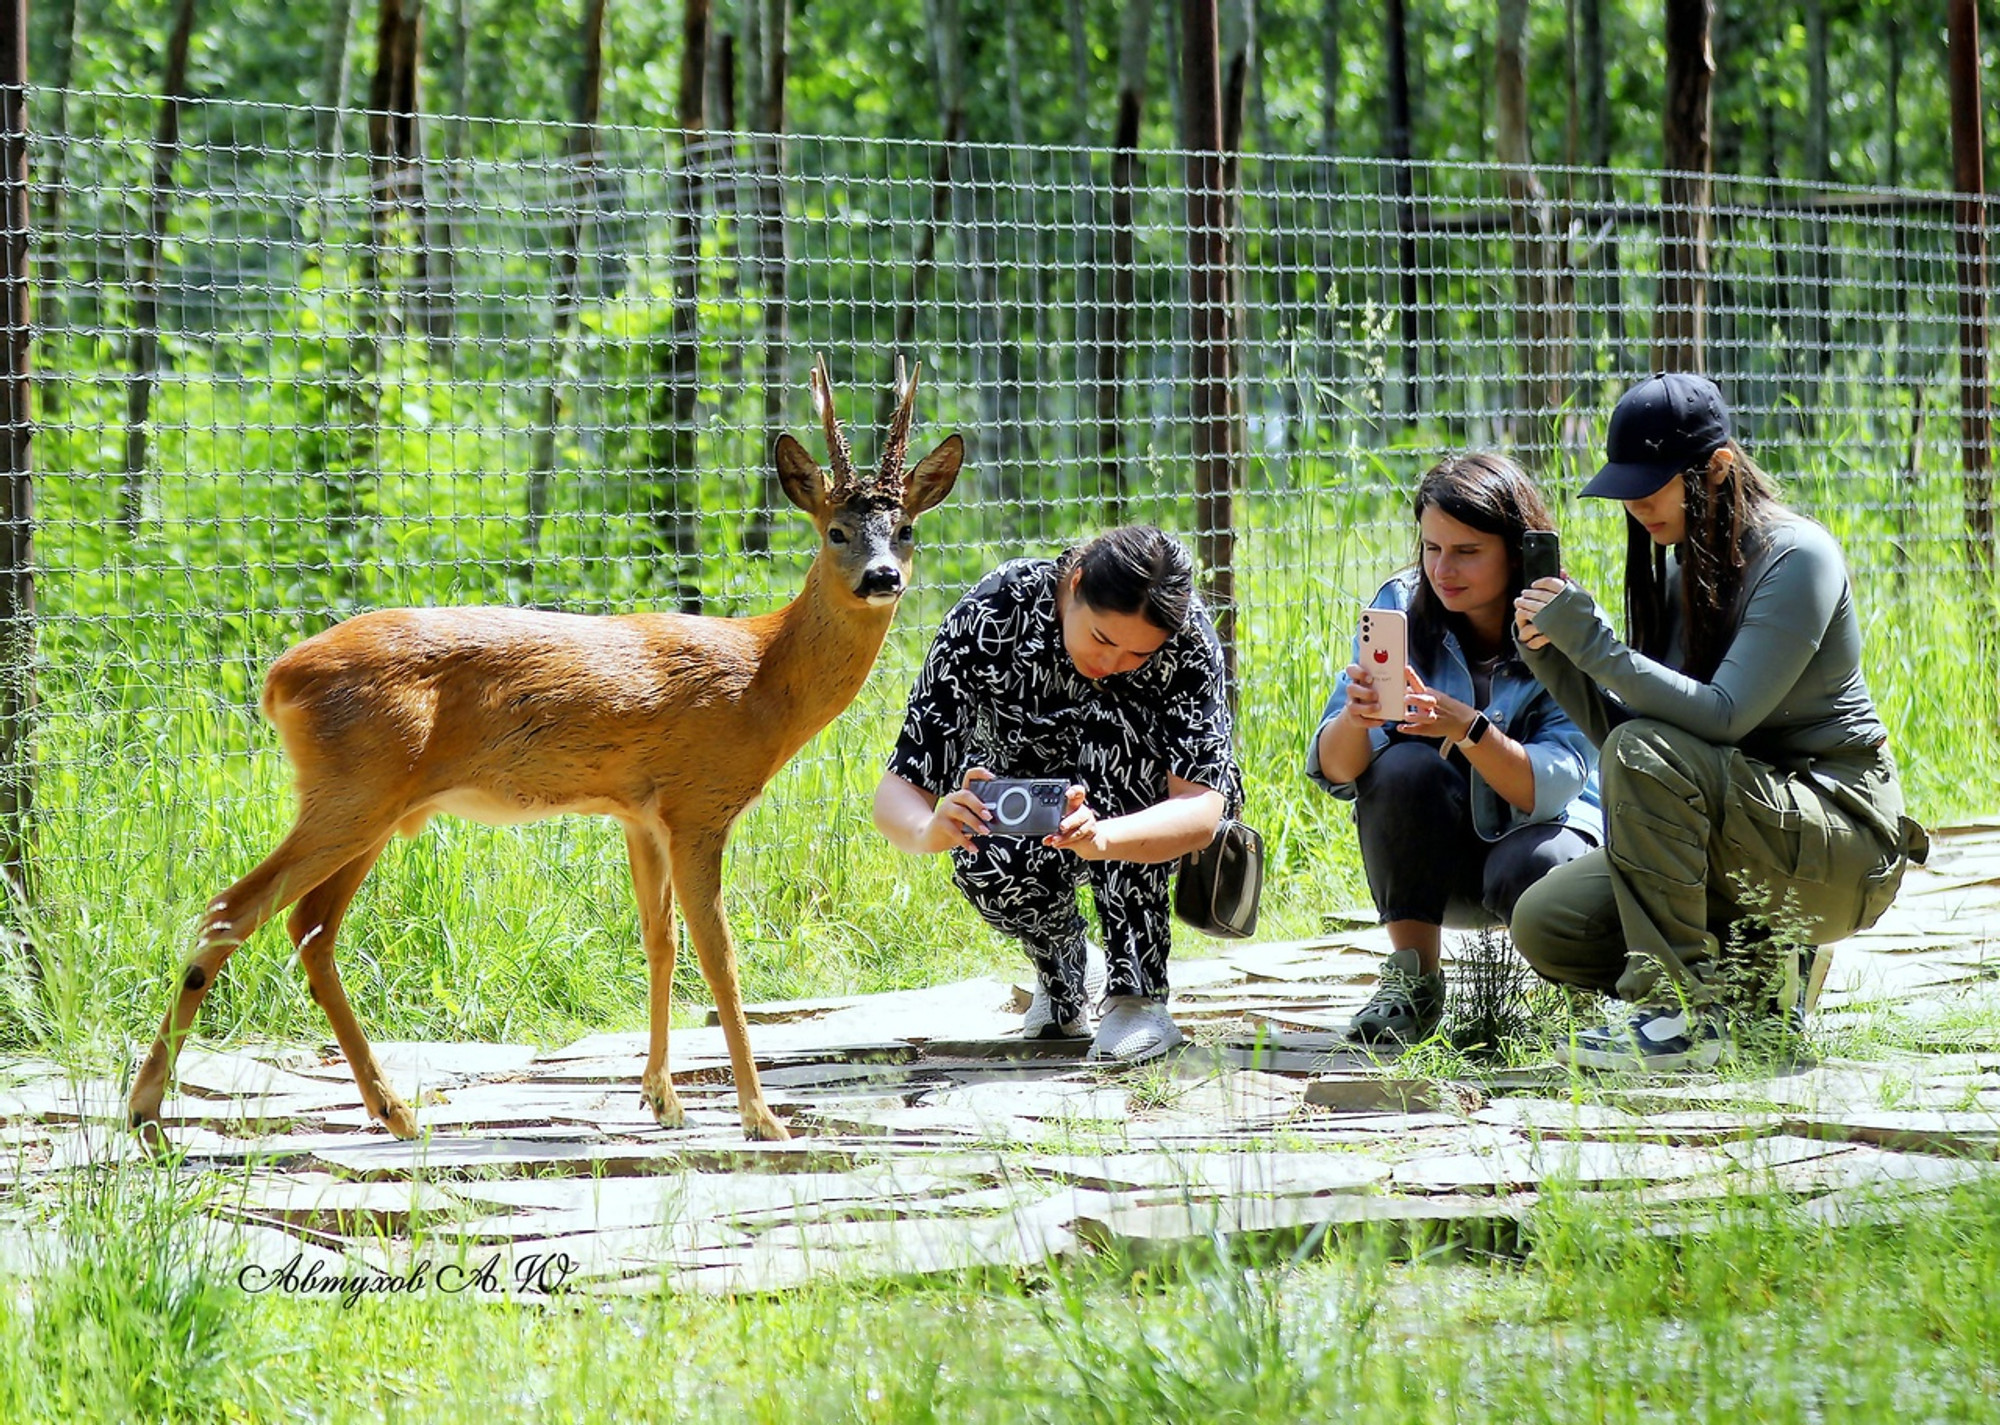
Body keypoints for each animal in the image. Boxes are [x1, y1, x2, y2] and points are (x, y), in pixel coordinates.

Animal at [129, 356, 964, 1144]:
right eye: (834, 530)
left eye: (907, 530)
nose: (881, 577)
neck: (760, 679)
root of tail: (278, 678)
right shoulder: (699, 802)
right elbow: (720, 956)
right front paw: (761, 1116)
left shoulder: (639, 811)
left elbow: (659, 940)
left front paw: (662, 1099)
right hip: (353, 791)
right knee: (232, 909)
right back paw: (146, 1111)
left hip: (372, 804)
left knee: (310, 928)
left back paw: (393, 1110)